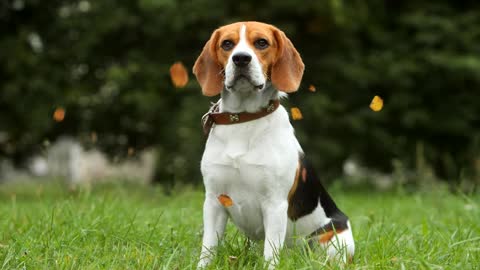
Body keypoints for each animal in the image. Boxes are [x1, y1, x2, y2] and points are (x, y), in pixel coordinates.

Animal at [193, 22, 354, 268]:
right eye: (227, 44)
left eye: (262, 42)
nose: (241, 59)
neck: (244, 119)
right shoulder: (213, 201)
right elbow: (208, 248)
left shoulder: (275, 204)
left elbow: (271, 253)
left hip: (335, 239)